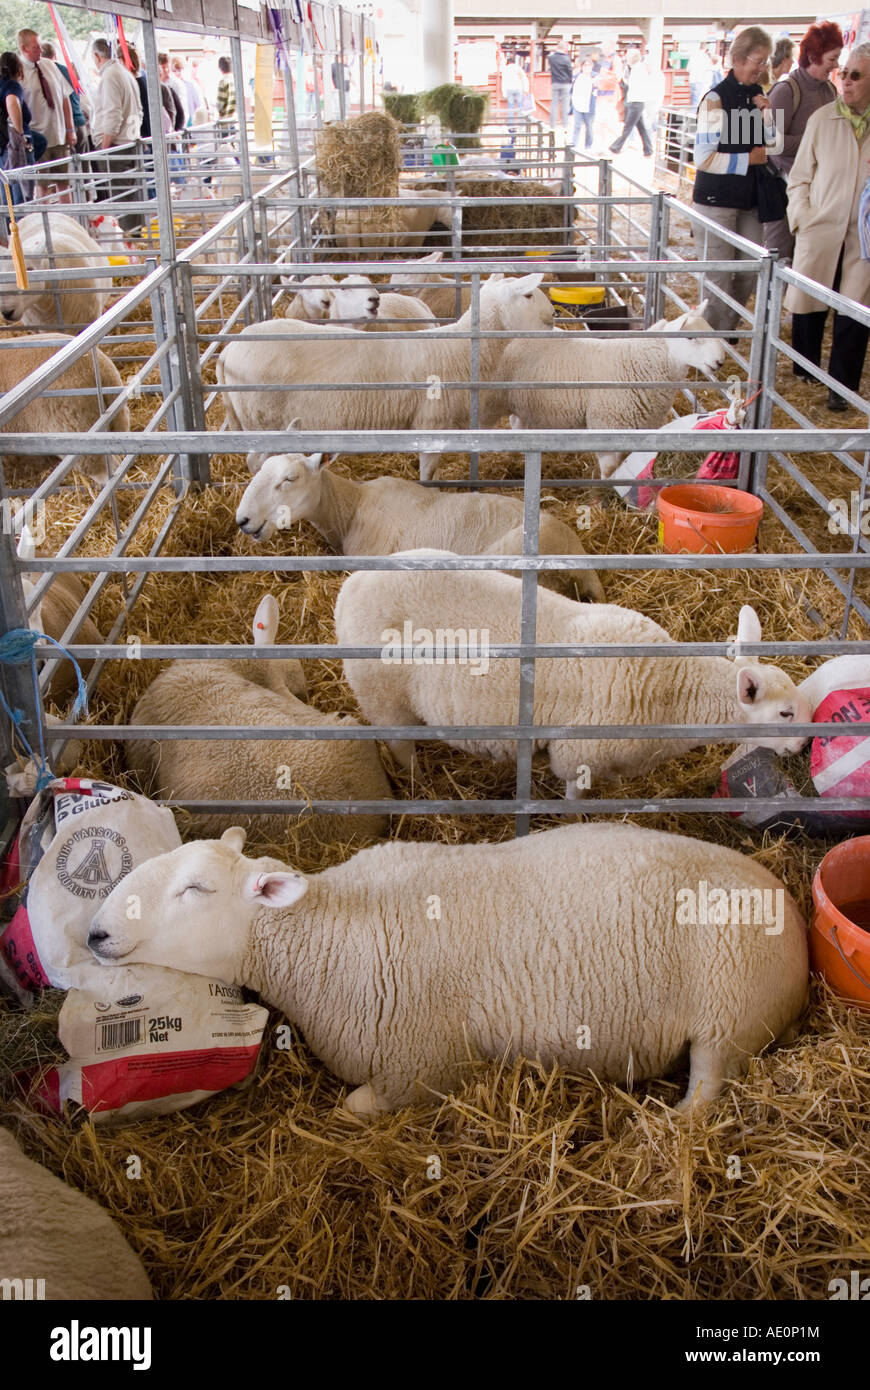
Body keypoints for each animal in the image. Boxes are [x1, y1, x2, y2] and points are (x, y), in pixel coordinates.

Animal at [87, 820, 809, 1116]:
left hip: (730, 1013)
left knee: (706, 1096)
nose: (94, 932)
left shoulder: (421, 1069)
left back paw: (659, 1123)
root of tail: (788, 907)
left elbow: (353, 1107)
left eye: (196, 889)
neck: (329, 932)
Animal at [215, 271, 554, 482]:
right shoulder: (430, 424)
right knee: (256, 462)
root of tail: (227, 351)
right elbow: (427, 475)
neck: (458, 349)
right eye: (527, 295)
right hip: (262, 420)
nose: (553, 316)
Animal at [334, 561, 812, 788]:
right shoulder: (578, 755)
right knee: (400, 745)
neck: (669, 688)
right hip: (381, 696)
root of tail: (352, 582)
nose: (805, 746)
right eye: (786, 714)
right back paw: (418, 782)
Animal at [492, 302, 728, 480]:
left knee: (517, 422)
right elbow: (609, 468)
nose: (720, 361)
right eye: (690, 337)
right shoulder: (605, 423)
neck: (639, 363)